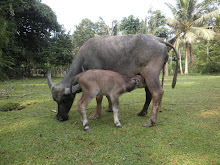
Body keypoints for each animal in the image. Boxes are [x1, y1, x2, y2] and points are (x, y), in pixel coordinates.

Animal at [47, 33, 178, 126]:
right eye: (55, 100)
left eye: (65, 99)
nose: (59, 117)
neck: (85, 58)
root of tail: (159, 40)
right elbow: (107, 95)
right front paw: (110, 109)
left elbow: (99, 97)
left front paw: (96, 114)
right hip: (146, 77)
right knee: (149, 94)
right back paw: (142, 112)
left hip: (151, 74)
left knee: (157, 93)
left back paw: (151, 121)